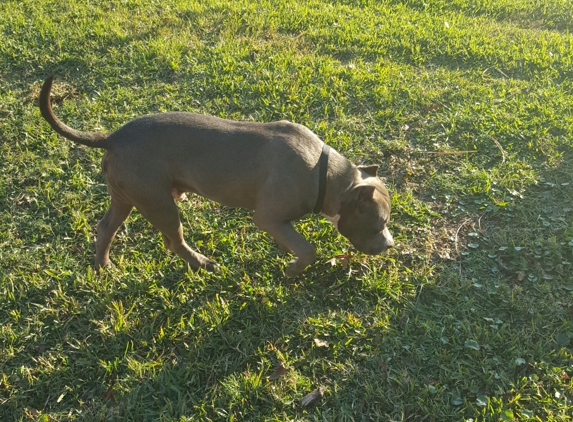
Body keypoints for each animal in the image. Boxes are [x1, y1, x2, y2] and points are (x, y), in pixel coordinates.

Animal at [39, 74, 394, 276]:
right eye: (380, 223)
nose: (390, 246)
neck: (328, 176)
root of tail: (112, 137)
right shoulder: (267, 216)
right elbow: (308, 249)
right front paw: (293, 268)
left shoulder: (278, 221)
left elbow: (293, 239)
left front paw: (285, 251)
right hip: (158, 203)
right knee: (175, 240)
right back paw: (203, 264)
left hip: (127, 195)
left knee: (107, 228)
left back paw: (104, 267)